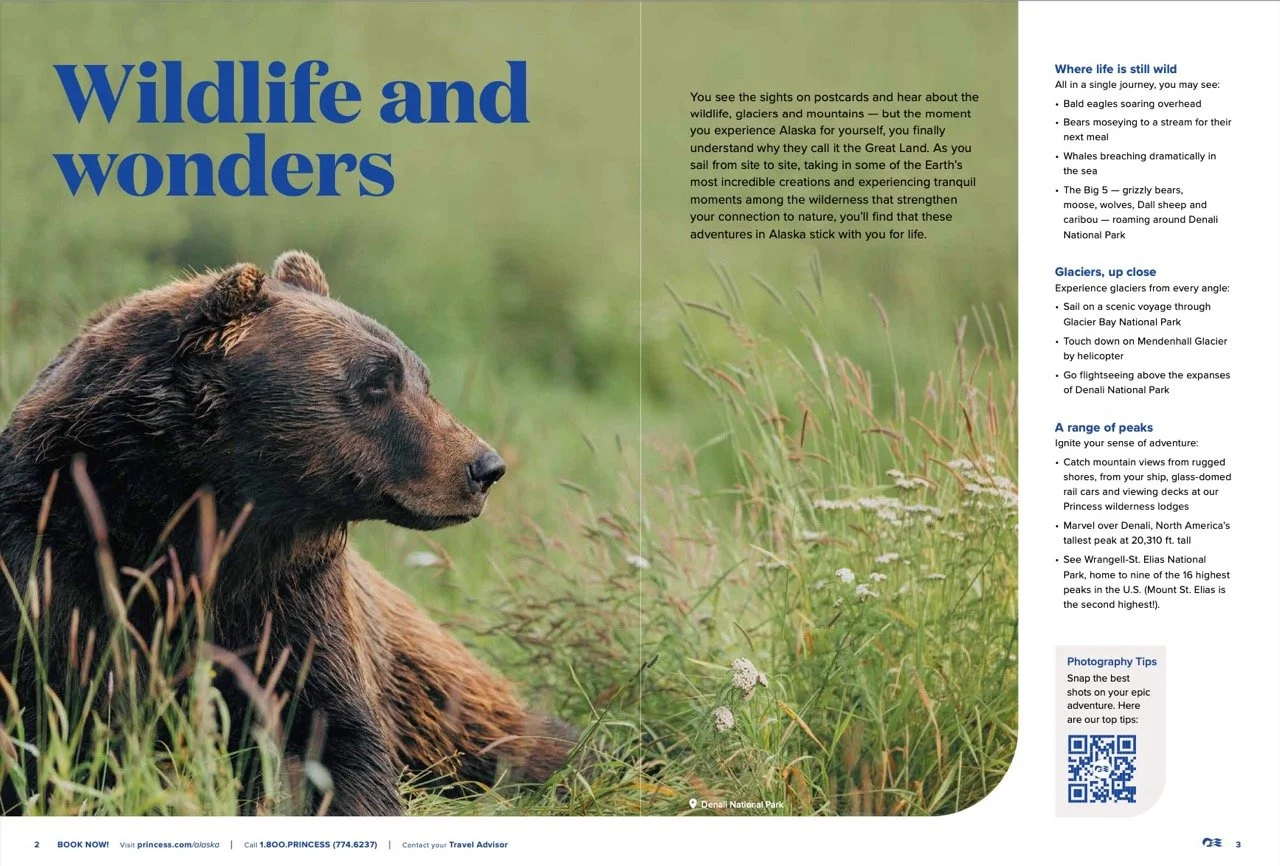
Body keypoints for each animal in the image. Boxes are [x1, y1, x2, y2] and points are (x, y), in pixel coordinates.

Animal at [0, 251, 575, 815]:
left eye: (421, 379)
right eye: (376, 382)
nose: (484, 467)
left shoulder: (293, 592)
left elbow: (333, 729)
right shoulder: (58, 563)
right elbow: (66, 713)